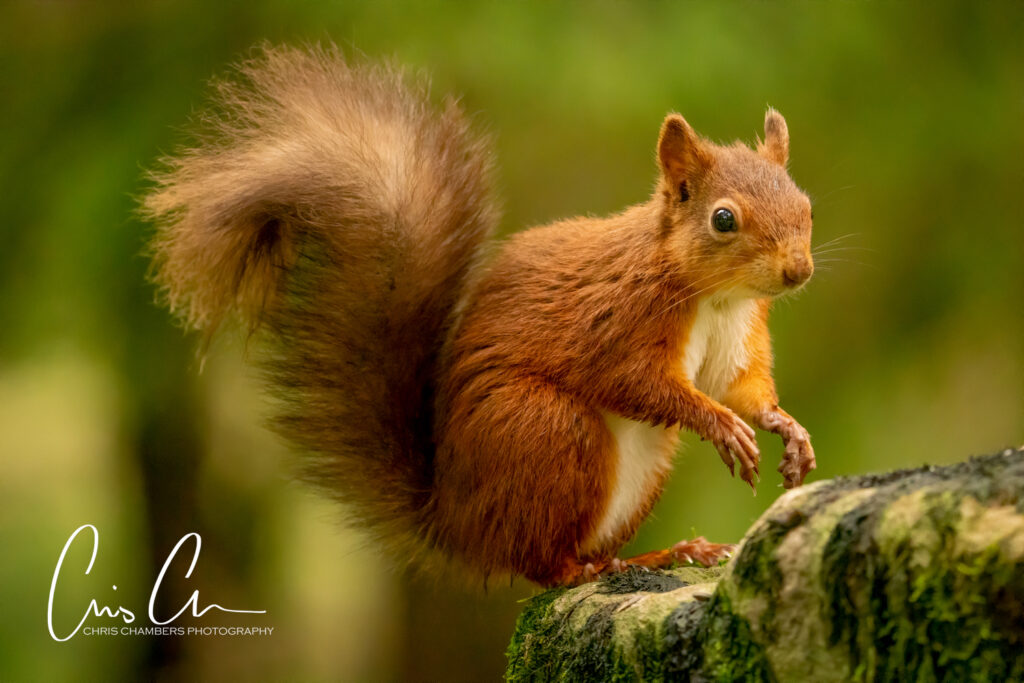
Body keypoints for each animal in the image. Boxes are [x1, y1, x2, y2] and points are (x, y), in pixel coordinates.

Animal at [143, 44, 816, 587]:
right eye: (723, 219)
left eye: (805, 204)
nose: (798, 272)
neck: (716, 296)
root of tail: (459, 524)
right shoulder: (620, 318)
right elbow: (637, 382)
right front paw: (720, 425)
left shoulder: (739, 334)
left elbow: (740, 387)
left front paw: (786, 430)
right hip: (546, 429)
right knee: (545, 565)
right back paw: (599, 568)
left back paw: (665, 555)